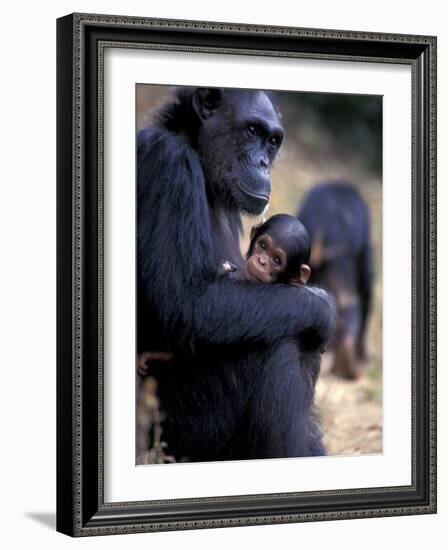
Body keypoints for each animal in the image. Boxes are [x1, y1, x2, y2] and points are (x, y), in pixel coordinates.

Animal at [137, 88, 336, 464]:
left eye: (272, 141)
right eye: (253, 131)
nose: (262, 163)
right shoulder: (167, 163)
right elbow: (188, 304)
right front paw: (323, 306)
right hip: (176, 432)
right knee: (278, 343)